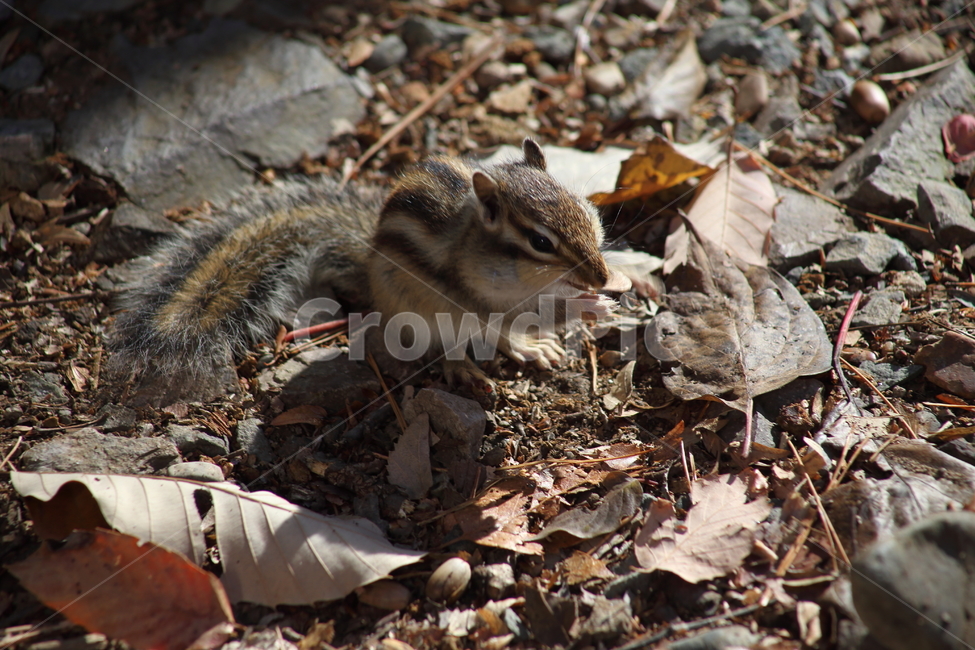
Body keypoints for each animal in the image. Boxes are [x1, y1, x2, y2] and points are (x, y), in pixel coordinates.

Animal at [108, 139, 616, 405]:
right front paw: (587, 307)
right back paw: (466, 371)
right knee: (452, 346)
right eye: (541, 243)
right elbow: (510, 315)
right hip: (426, 313)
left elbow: (517, 320)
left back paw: (530, 349)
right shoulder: (474, 293)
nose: (602, 278)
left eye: (586, 211)